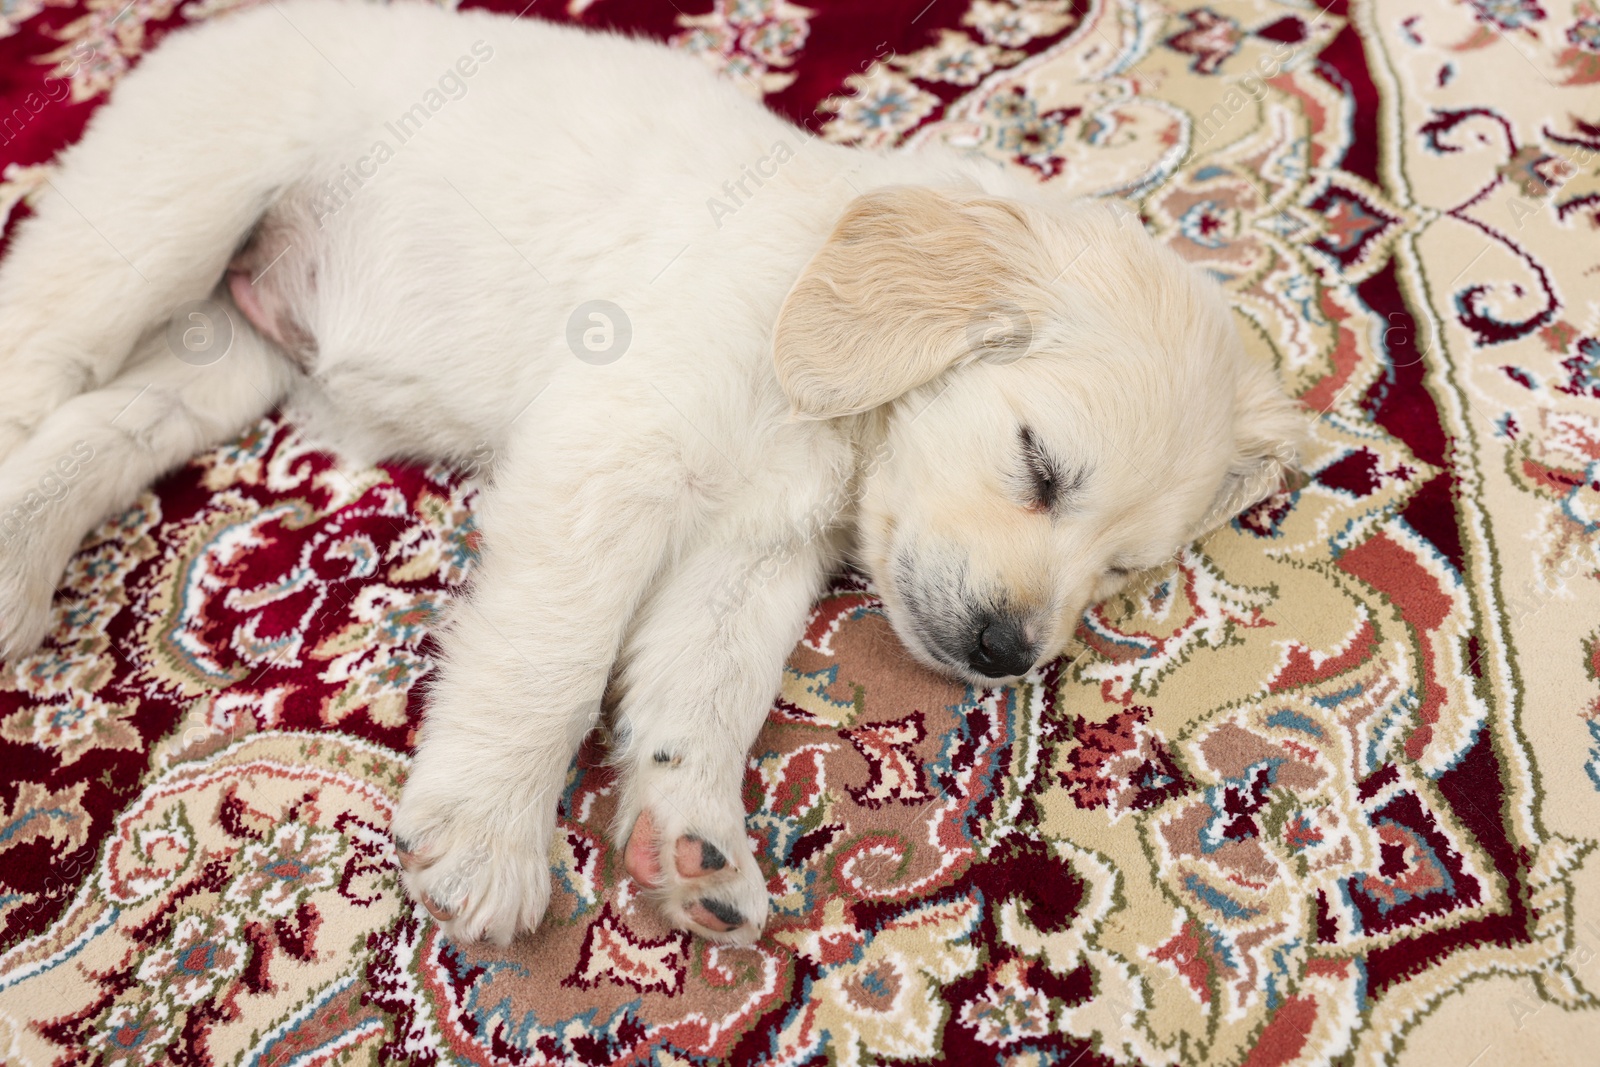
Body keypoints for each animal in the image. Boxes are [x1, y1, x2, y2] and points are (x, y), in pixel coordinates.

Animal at [0, 2, 1305, 953]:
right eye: (1039, 465)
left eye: (1119, 572)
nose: (1005, 652)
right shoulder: (608, 456)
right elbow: (555, 657)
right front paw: (490, 833)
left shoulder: (752, 553)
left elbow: (708, 689)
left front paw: (689, 837)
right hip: (164, 219)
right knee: (40, 364)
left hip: (225, 352)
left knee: (103, 427)